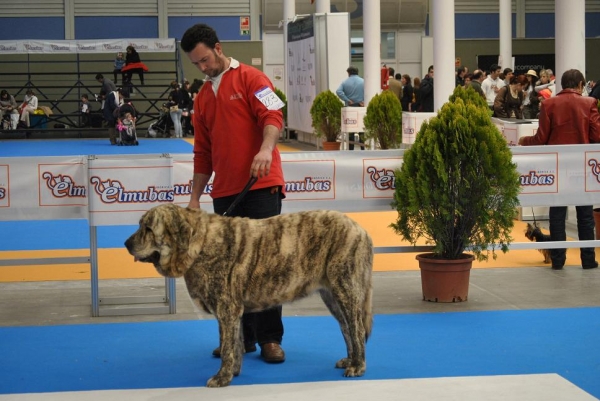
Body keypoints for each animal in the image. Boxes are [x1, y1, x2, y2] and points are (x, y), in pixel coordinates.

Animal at [124, 205, 372, 386]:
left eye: (148, 228)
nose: (126, 244)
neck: (200, 243)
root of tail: (361, 229)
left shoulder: (226, 309)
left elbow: (226, 347)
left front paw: (221, 378)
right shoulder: (234, 313)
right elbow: (236, 343)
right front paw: (233, 372)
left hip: (345, 288)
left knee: (357, 328)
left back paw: (358, 366)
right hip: (331, 296)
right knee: (347, 329)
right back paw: (350, 360)